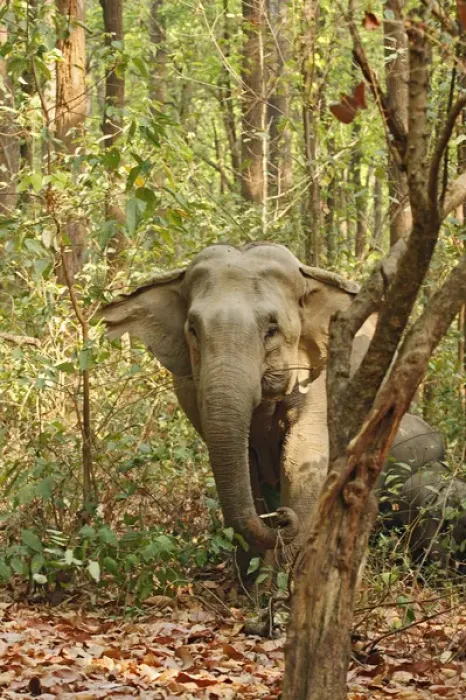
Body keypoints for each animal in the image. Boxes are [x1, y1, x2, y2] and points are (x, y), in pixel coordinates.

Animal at [98, 242, 446, 564]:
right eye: (193, 330)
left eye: (272, 330)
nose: (280, 517)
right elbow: (245, 464)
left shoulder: (319, 379)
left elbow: (299, 459)